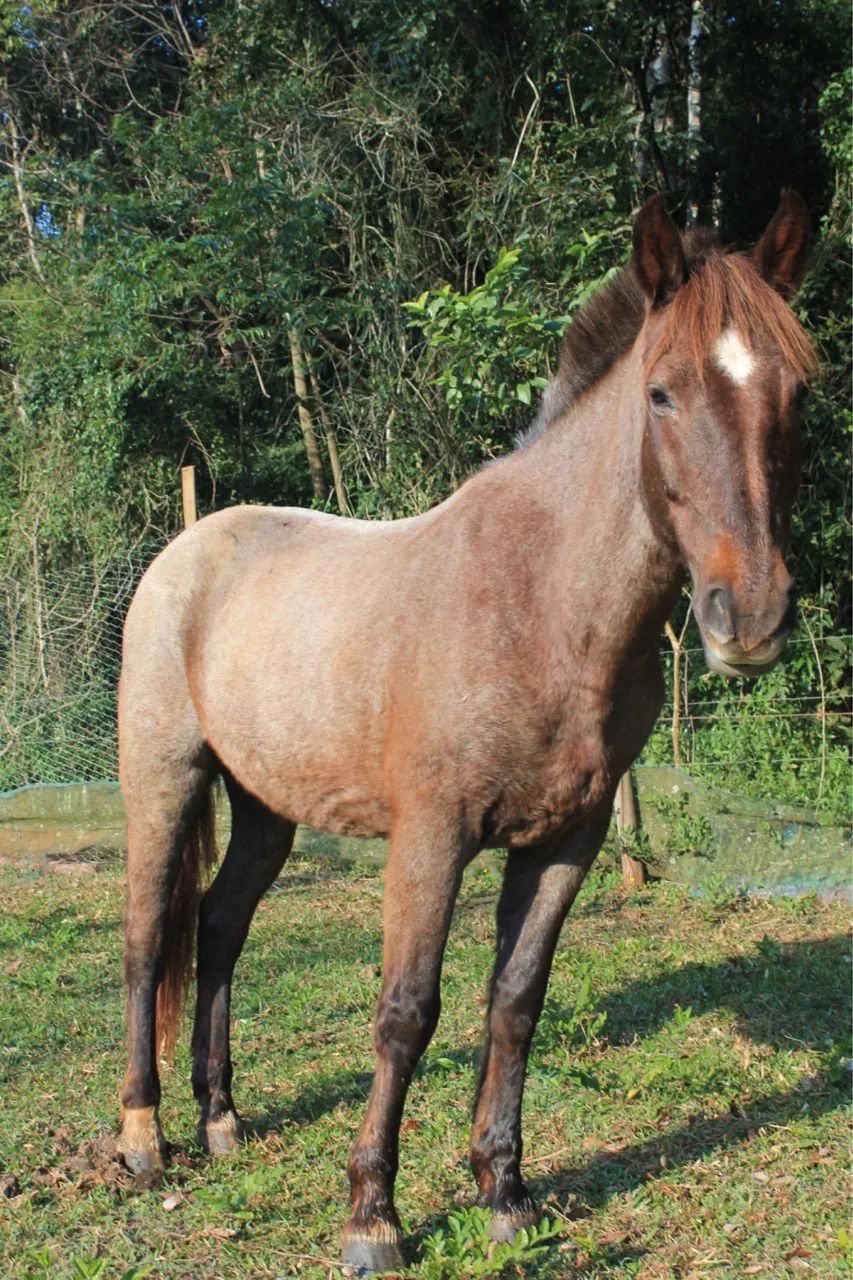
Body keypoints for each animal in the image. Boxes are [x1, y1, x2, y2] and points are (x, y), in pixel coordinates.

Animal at [116, 192, 815, 1274]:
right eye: (660, 393)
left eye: (796, 390)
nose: (748, 617)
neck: (537, 605)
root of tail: (189, 547)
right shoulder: (431, 837)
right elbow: (407, 1011)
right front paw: (372, 1219)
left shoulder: (565, 842)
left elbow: (515, 1000)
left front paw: (504, 1193)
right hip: (163, 778)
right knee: (151, 937)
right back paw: (144, 1139)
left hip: (267, 805)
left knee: (223, 923)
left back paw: (221, 1118)